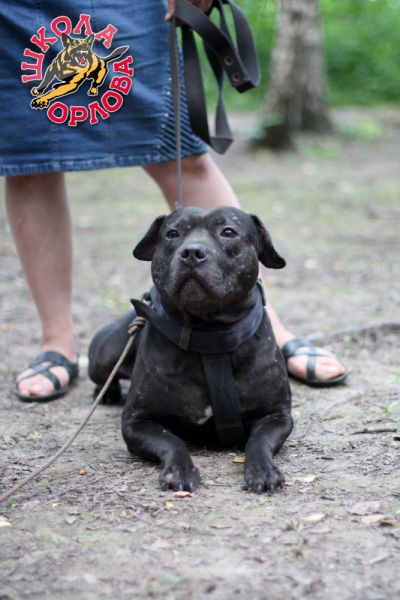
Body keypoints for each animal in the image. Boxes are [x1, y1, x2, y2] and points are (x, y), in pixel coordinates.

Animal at [88, 207, 293, 493]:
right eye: (172, 233)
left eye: (228, 232)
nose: (192, 252)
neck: (209, 339)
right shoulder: (136, 422)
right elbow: (170, 440)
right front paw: (180, 469)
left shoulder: (277, 415)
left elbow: (260, 440)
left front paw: (262, 469)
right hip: (104, 356)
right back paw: (106, 391)